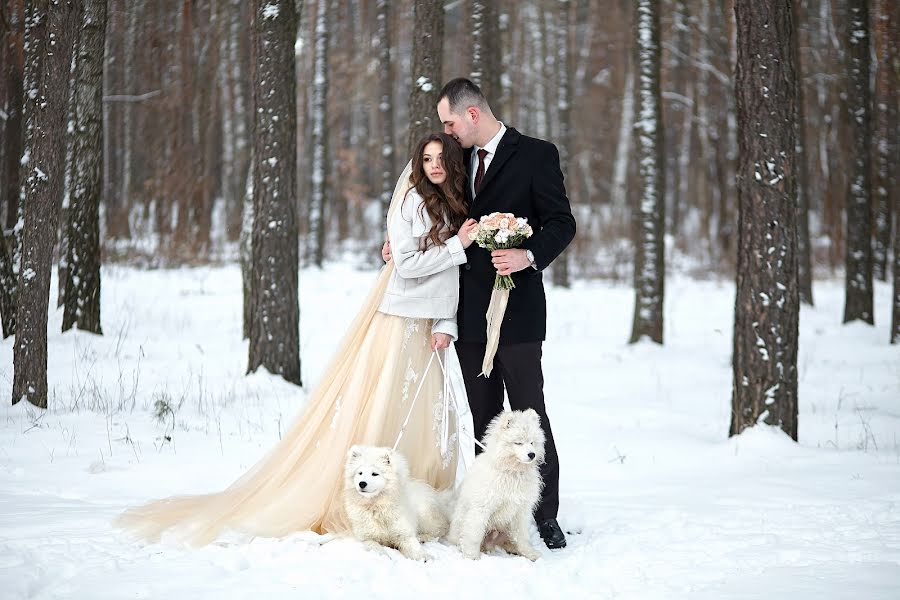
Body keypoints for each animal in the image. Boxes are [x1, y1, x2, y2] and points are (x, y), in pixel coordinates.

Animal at [446, 410, 544, 560]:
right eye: (518, 442)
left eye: (532, 442)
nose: (532, 454)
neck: (511, 472)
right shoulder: (481, 509)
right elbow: (474, 535)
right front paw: (471, 557)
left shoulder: (520, 510)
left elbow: (522, 536)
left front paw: (530, 553)